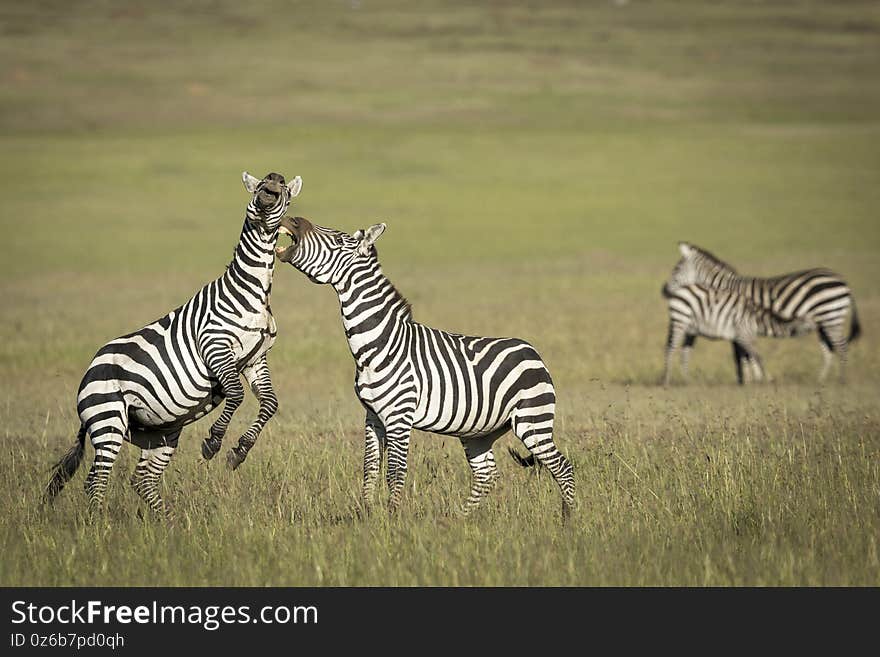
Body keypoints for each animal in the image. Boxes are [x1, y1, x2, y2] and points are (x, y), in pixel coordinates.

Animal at [45, 172, 302, 516]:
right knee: (96, 480)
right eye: (261, 185)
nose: (273, 179)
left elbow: (270, 403)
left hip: (160, 433)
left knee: (142, 480)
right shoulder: (215, 345)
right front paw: (213, 442)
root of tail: (89, 369)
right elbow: (236, 394)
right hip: (108, 419)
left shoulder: (254, 360)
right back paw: (99, 525)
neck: (254, 291)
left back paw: (168, 522)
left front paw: (240, 450)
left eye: (283, 189)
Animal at [276, 218, 576, 520]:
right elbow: (369, 469)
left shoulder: (399, 416)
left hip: (532, 421)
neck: (380, 344)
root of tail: (532, 351)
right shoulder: (372, 416)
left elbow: (395, 472)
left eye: (338, 240)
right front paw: (367, 515)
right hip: (478, 432)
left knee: (562, 467)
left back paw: (568, 519)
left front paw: (392, 518)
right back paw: (457, 520)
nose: (294, 220)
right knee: (486, 473)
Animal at [660, 282, 812, 384]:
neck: (757, 320)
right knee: (671, 348)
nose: (818, 326)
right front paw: (767, 378)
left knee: (685, 352)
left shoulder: (742, 338)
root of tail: (678, 291)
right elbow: (757, 357)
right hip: (680, 320)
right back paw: (667, 381)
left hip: (690, 329)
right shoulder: (744, 335)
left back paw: (688, 380)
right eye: (809, 324)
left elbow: (747, 357)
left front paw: (753, 380)